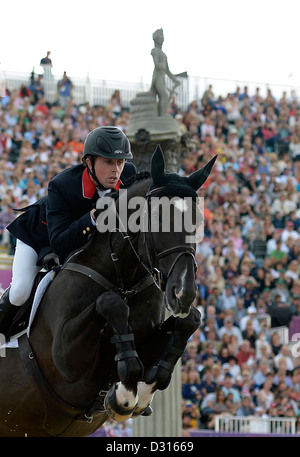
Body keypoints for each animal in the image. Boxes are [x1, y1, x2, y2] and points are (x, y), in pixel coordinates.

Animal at [0, 145, 217, 434]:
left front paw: (138, 394)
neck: (123, 277)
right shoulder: (65, 359)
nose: (184, 293)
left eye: (198, 221)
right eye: (157, 217)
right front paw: (124, 395)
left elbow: (189, 322)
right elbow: (110, 302)